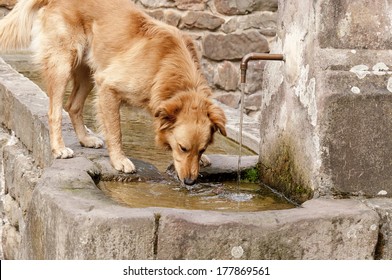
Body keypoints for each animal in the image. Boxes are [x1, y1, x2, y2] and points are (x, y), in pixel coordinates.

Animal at [0, 0, 227, 185]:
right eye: (182, 148)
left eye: (201, 149)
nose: (190, 182)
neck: (165, 66)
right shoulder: (108, 86)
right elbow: (115, 130)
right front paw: (119, 160)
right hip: (63, 63)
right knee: (55, 111)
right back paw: (59, 148)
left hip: (88, 70)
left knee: (73, 105)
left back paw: (86, 139)